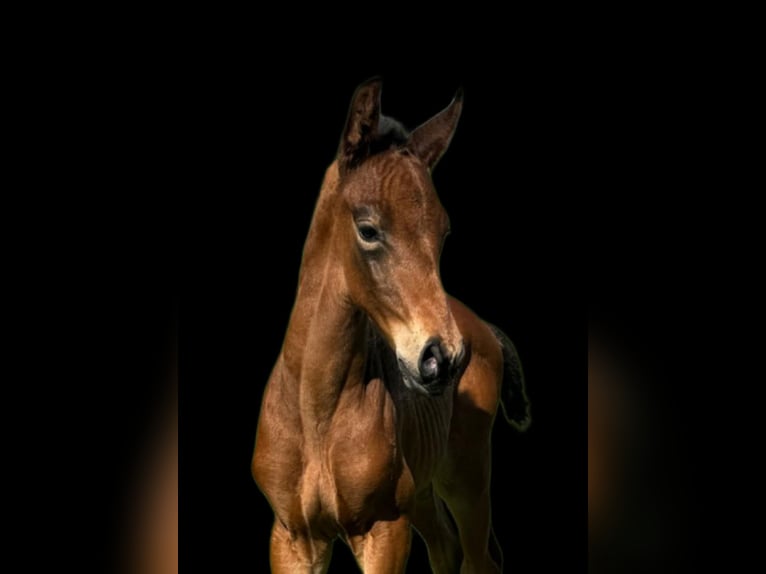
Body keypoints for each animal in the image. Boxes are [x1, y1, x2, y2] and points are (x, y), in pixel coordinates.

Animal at [255, 79, 532, 572]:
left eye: (443, 233)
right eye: (368, 229)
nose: (443, 358)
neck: (317, 412)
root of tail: (481, 326)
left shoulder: (384, 530)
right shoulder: (291, 536)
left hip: (467, 480)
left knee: (478, 556)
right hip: (422, 491)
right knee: (446, 547)